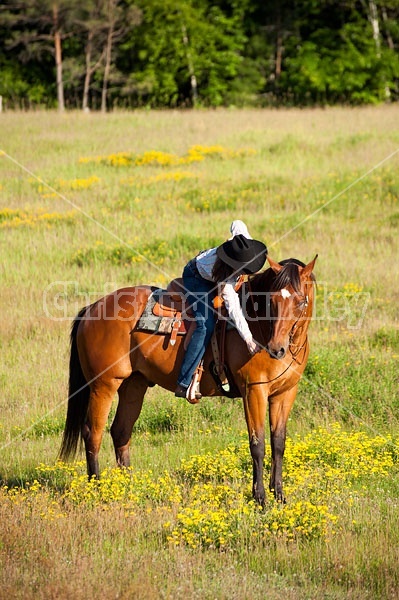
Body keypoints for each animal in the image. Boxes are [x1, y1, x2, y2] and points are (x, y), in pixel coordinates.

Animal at [59, 255, 318, 504]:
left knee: (121, 431)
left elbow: (278, 443)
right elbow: (258, 444)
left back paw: (128, 488)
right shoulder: (253, 391)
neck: (258, 327)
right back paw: (97, 489)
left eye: (301, 302)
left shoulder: (285, 393)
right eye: (271, 301)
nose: (277, 349)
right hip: (104, 385)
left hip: (134, 385)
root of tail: (92, 308)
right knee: (93, 433)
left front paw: (280, 495)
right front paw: (261, 499)